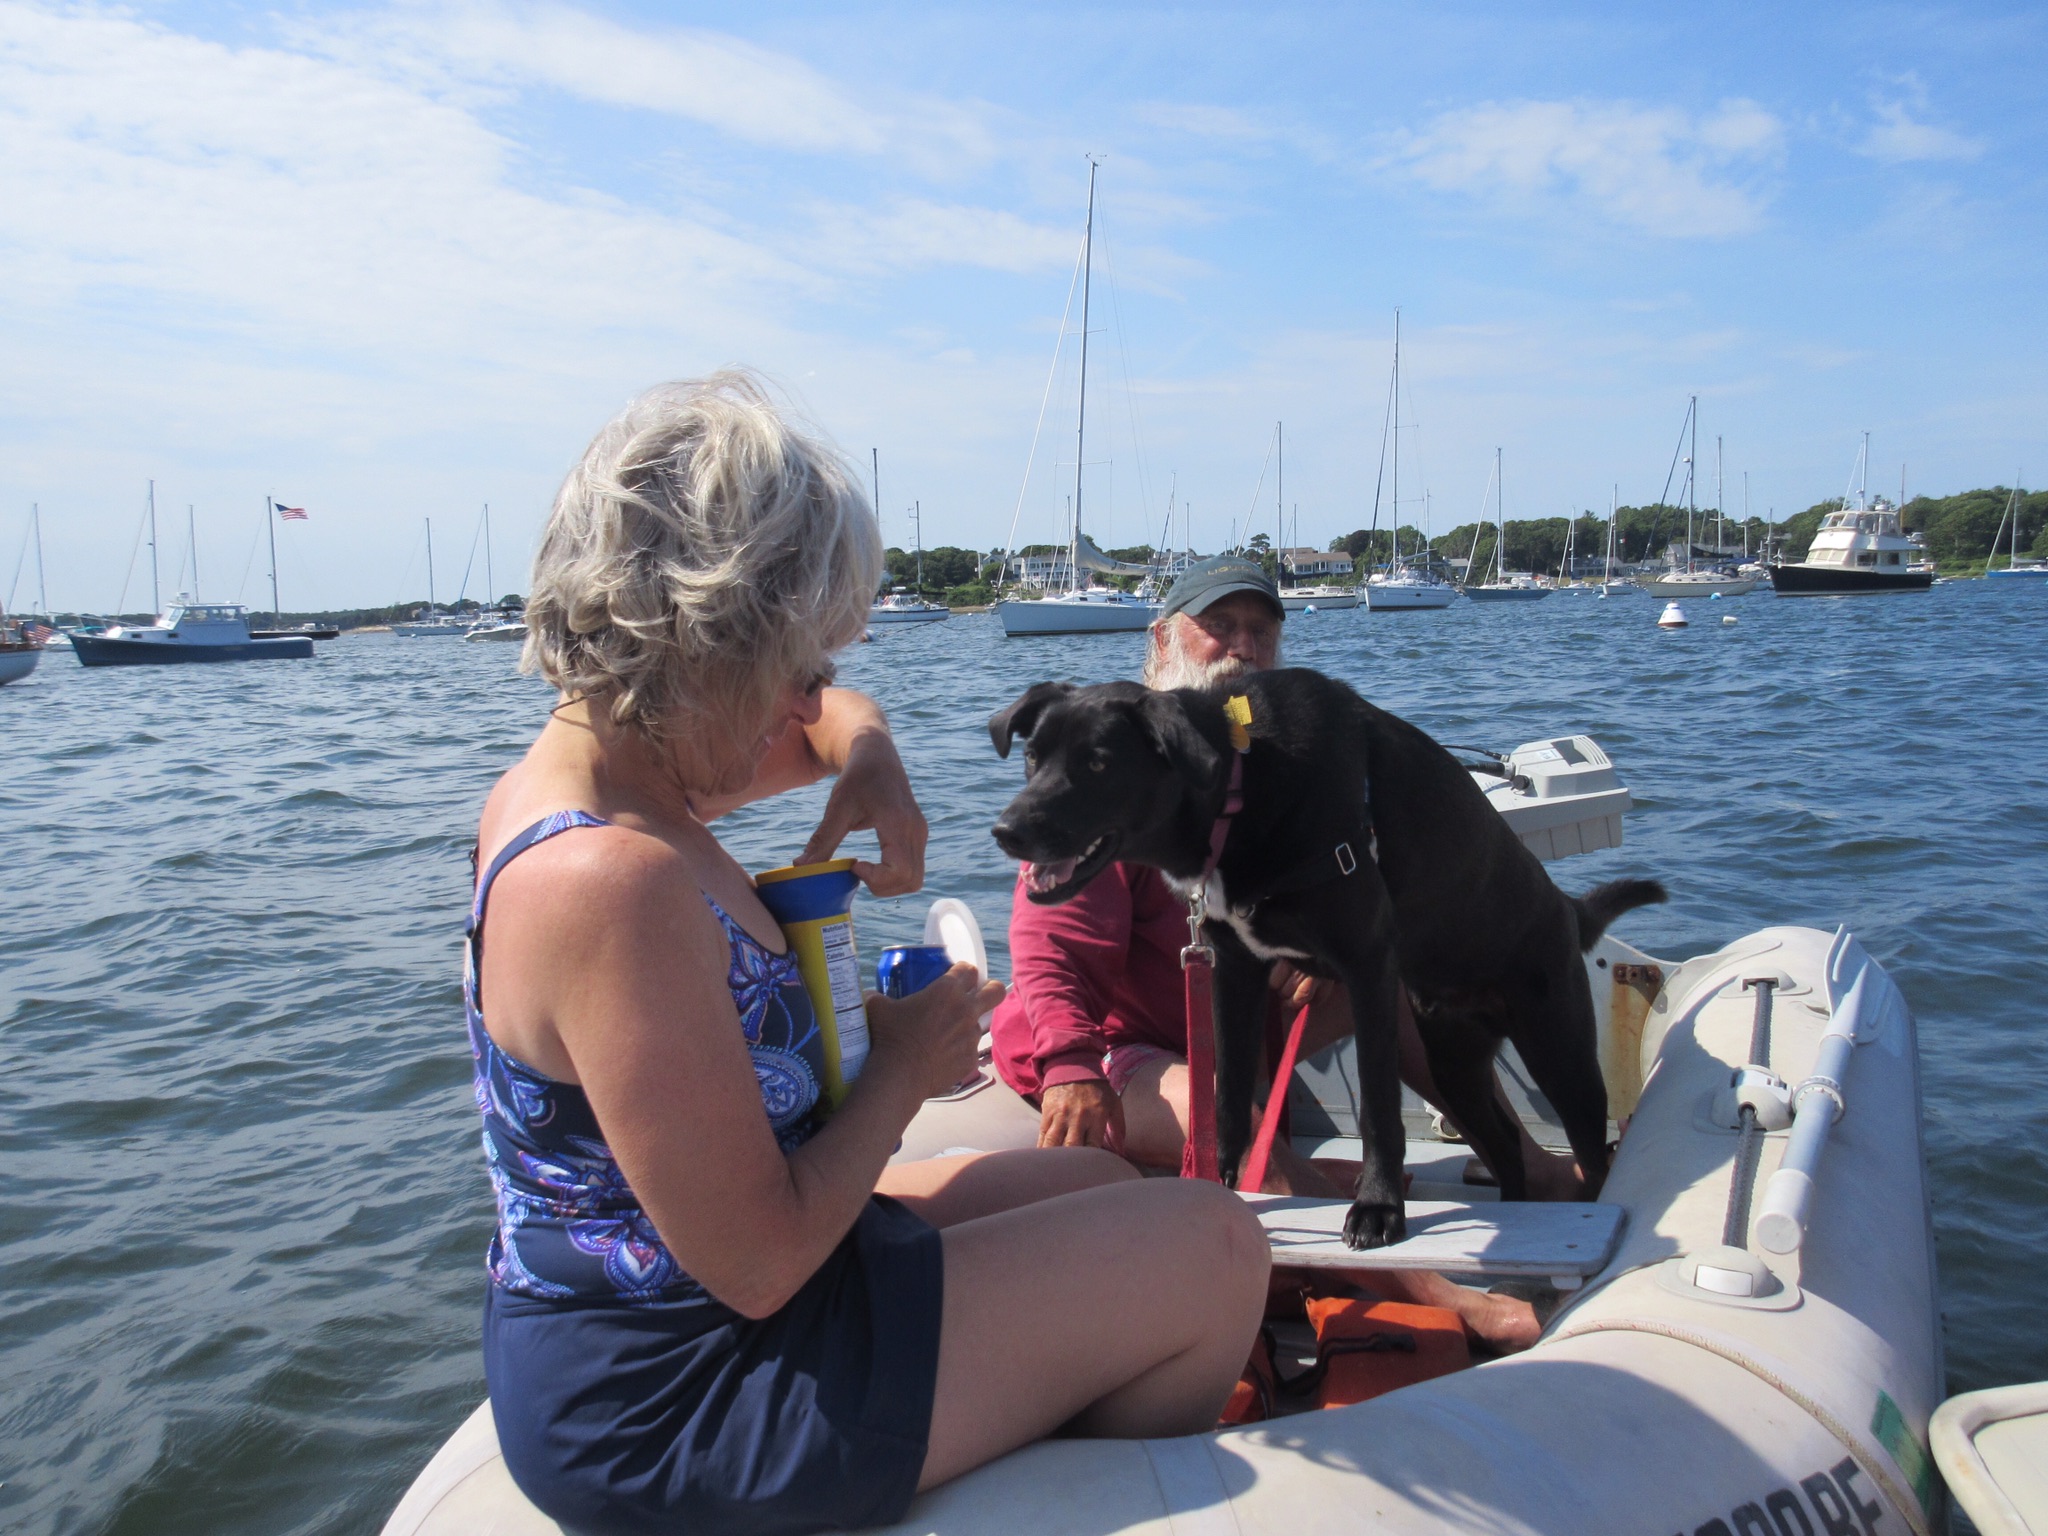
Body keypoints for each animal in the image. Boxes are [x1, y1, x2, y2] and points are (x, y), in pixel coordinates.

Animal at [991, 671, 1662, 1253]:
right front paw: (1217, 1186)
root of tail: (1567, 908)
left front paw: (1378, 1209)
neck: (1243, 786)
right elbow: (1228, 1098)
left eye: (1099, 762)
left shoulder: (1367, 967)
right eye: (1033, 757)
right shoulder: (1234, 970)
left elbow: (1379, 1111)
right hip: (1454, 1059)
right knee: (1502, 1143)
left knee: (1589, 1151)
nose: (1006, 831)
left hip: (1559, 1053)